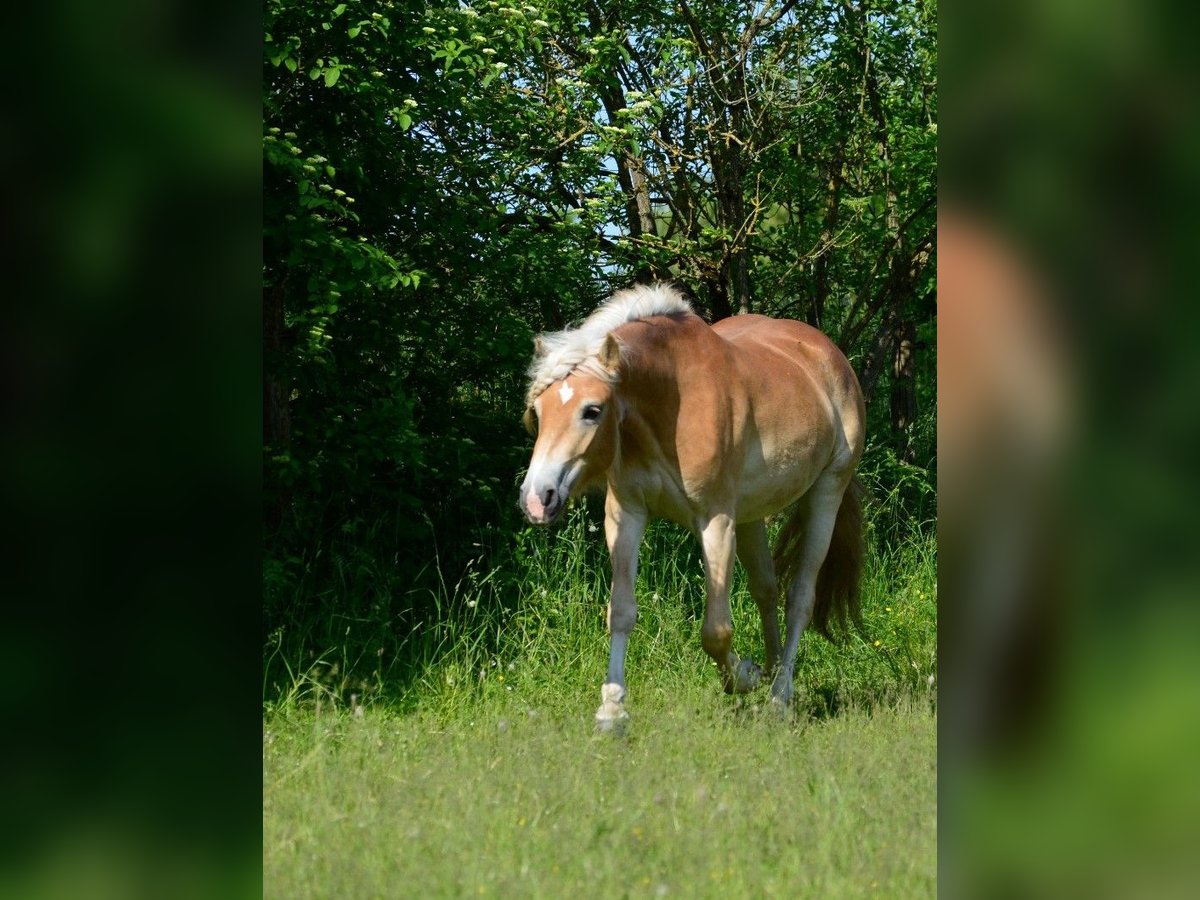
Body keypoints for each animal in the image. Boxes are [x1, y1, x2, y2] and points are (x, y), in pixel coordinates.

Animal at [516, 285, 864, 729]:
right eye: (538, 412)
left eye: (591, 411)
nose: (536, 498)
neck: (672, 404)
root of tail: (828, 355)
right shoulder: (626, 516)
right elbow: (621, 612)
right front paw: (612, 710)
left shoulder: (715, 522)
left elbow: (716, 631)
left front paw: (743, 676)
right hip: (751, 516)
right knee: (767, 590)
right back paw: (771, 671)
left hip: (826, 492)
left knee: (799, 598)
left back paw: (779, 695)